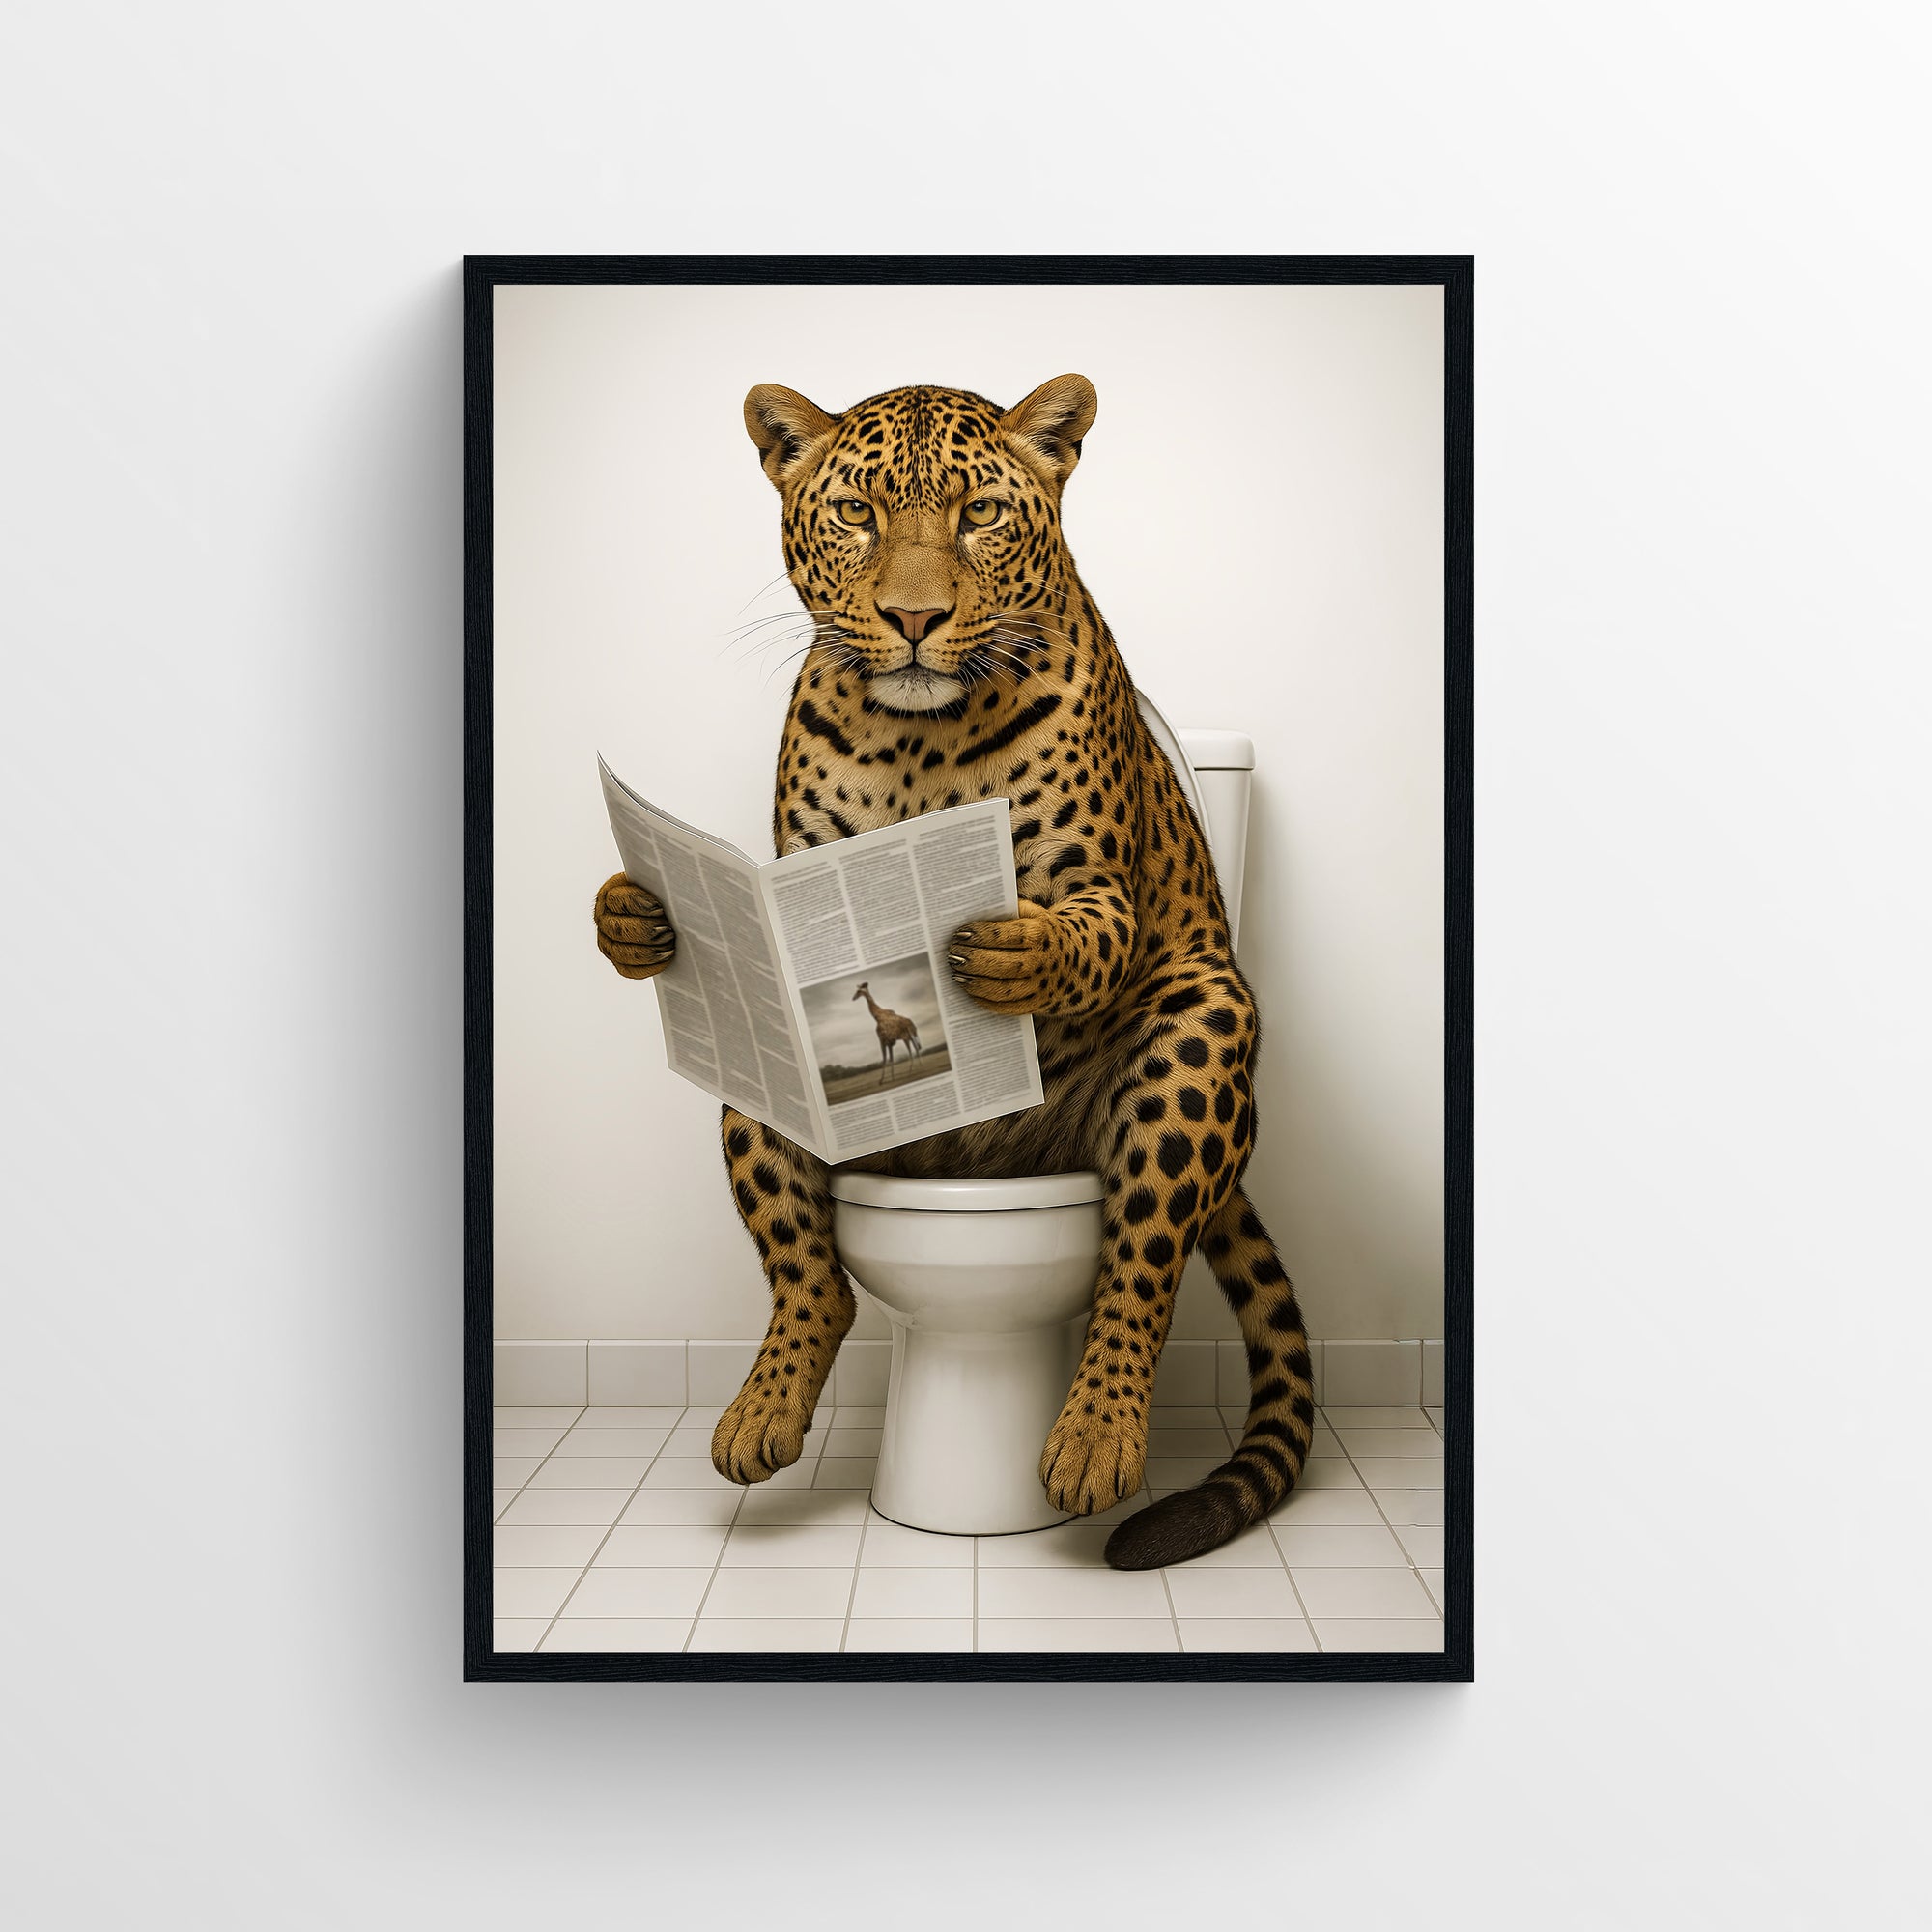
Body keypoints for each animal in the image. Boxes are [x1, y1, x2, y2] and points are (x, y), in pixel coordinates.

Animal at [592, 374, 1316, 1567]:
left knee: (1140, 1261)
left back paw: (1096, 1438)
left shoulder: (1097, 885)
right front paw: (634, 915)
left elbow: (1085, 931)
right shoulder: (794, 880)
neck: (916, 747)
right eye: (855, 515)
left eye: (979, 514)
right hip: (779, 1091)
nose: (914, 620)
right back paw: (761, 1409)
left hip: (1201, 1019)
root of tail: (973, 1168)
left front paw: (1012, 951)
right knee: (817, 1278)